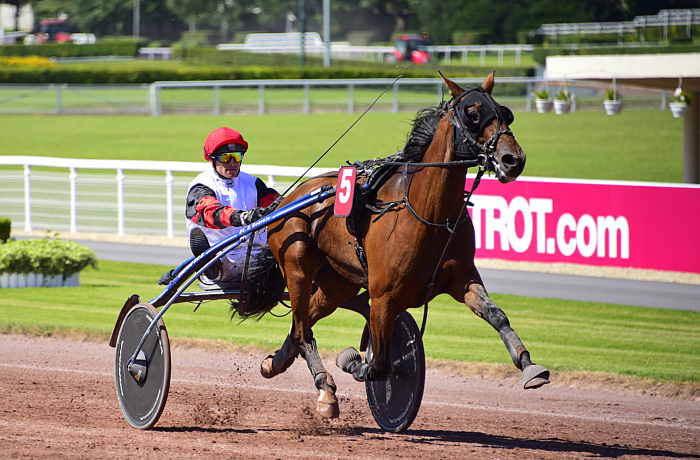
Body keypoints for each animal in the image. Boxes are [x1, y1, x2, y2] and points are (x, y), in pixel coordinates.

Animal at [238, 72, 548, 420]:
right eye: (473, 113)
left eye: (506, 113)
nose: (513, 159)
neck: (428, 213)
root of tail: (283, 200)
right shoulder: (383, 296)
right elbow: (381, 364)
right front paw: (355, 362)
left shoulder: (462, 278)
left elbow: (497, 315)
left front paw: (529, 365)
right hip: (298, 266)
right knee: (304, 331)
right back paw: (324, 390)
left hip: (337, 282)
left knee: (301, 324)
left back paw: (276, 364)